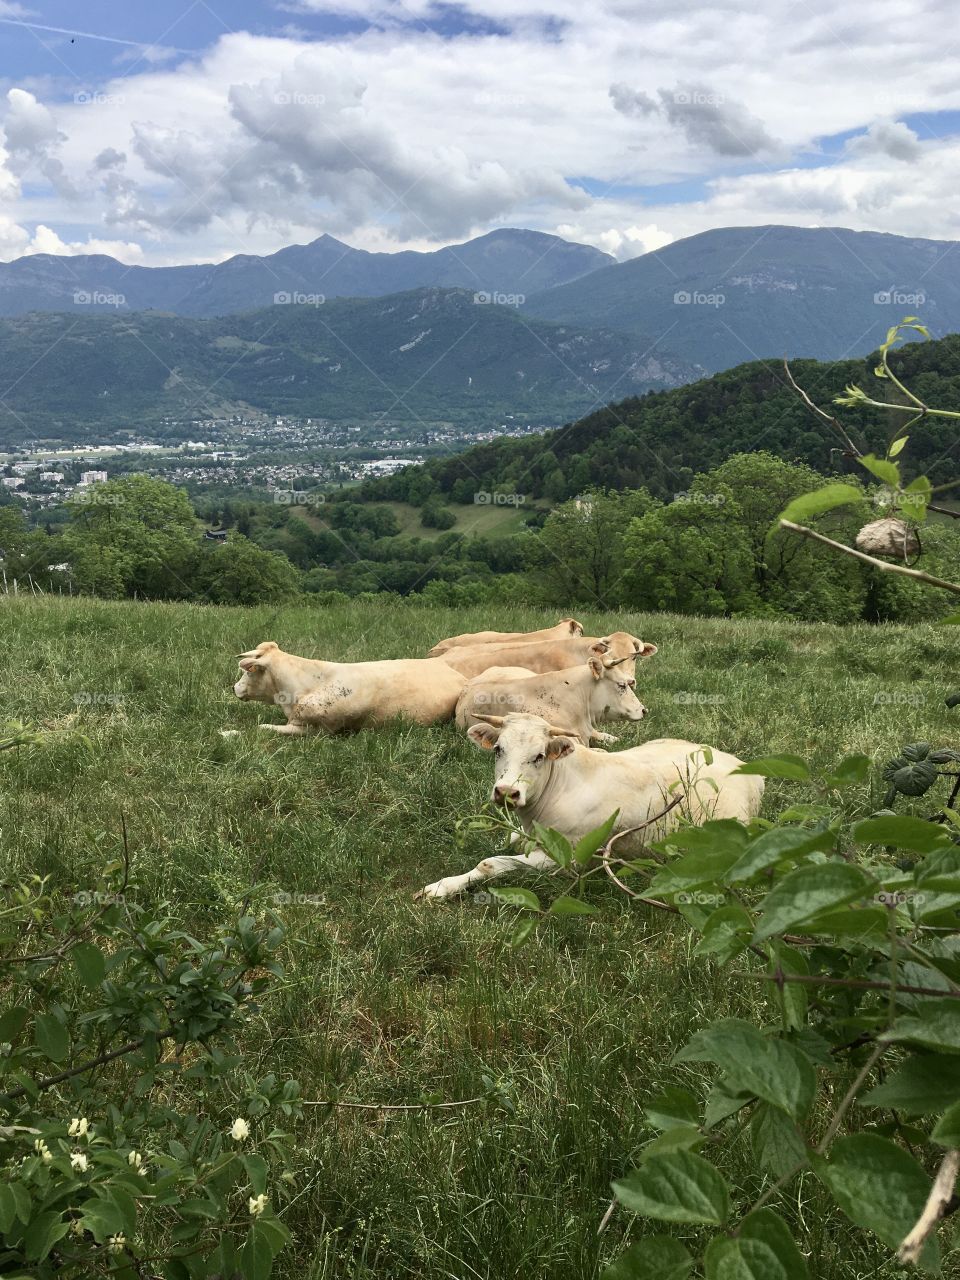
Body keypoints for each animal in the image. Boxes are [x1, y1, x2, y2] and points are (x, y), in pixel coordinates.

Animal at [416, 712, 763, 899]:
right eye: (498, 749)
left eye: (539, 756)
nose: (506, 792)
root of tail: (745, 767)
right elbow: (510, 839)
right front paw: (441, 886)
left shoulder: (568, 859)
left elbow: (490, 863)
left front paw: (444, 887)